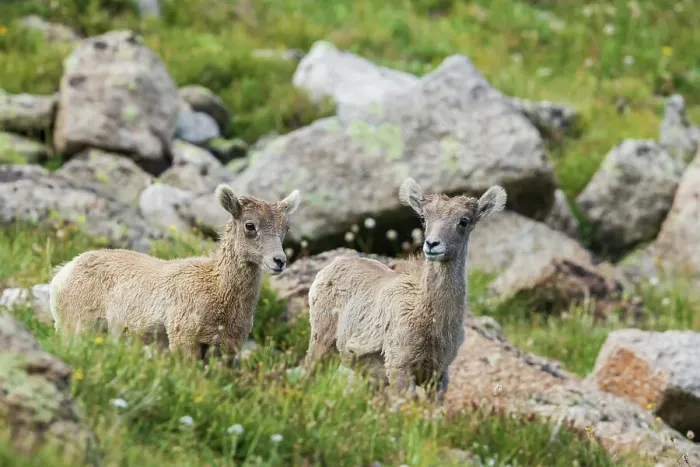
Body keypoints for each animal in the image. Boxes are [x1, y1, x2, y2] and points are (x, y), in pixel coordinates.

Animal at [49, 184, 301, 360]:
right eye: (250, 225)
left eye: (286, 228)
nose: (279, 261)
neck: (217, 289)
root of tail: (62, 274)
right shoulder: (184, 341)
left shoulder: (226, 349)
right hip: (76, 328)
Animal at [304, 178, 506, 400]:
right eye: (424, 218)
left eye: (464, 221)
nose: (432, 244)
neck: (431, 323)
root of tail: (330, 267)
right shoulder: (399, 369)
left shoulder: (439, 376)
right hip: (321, 342)